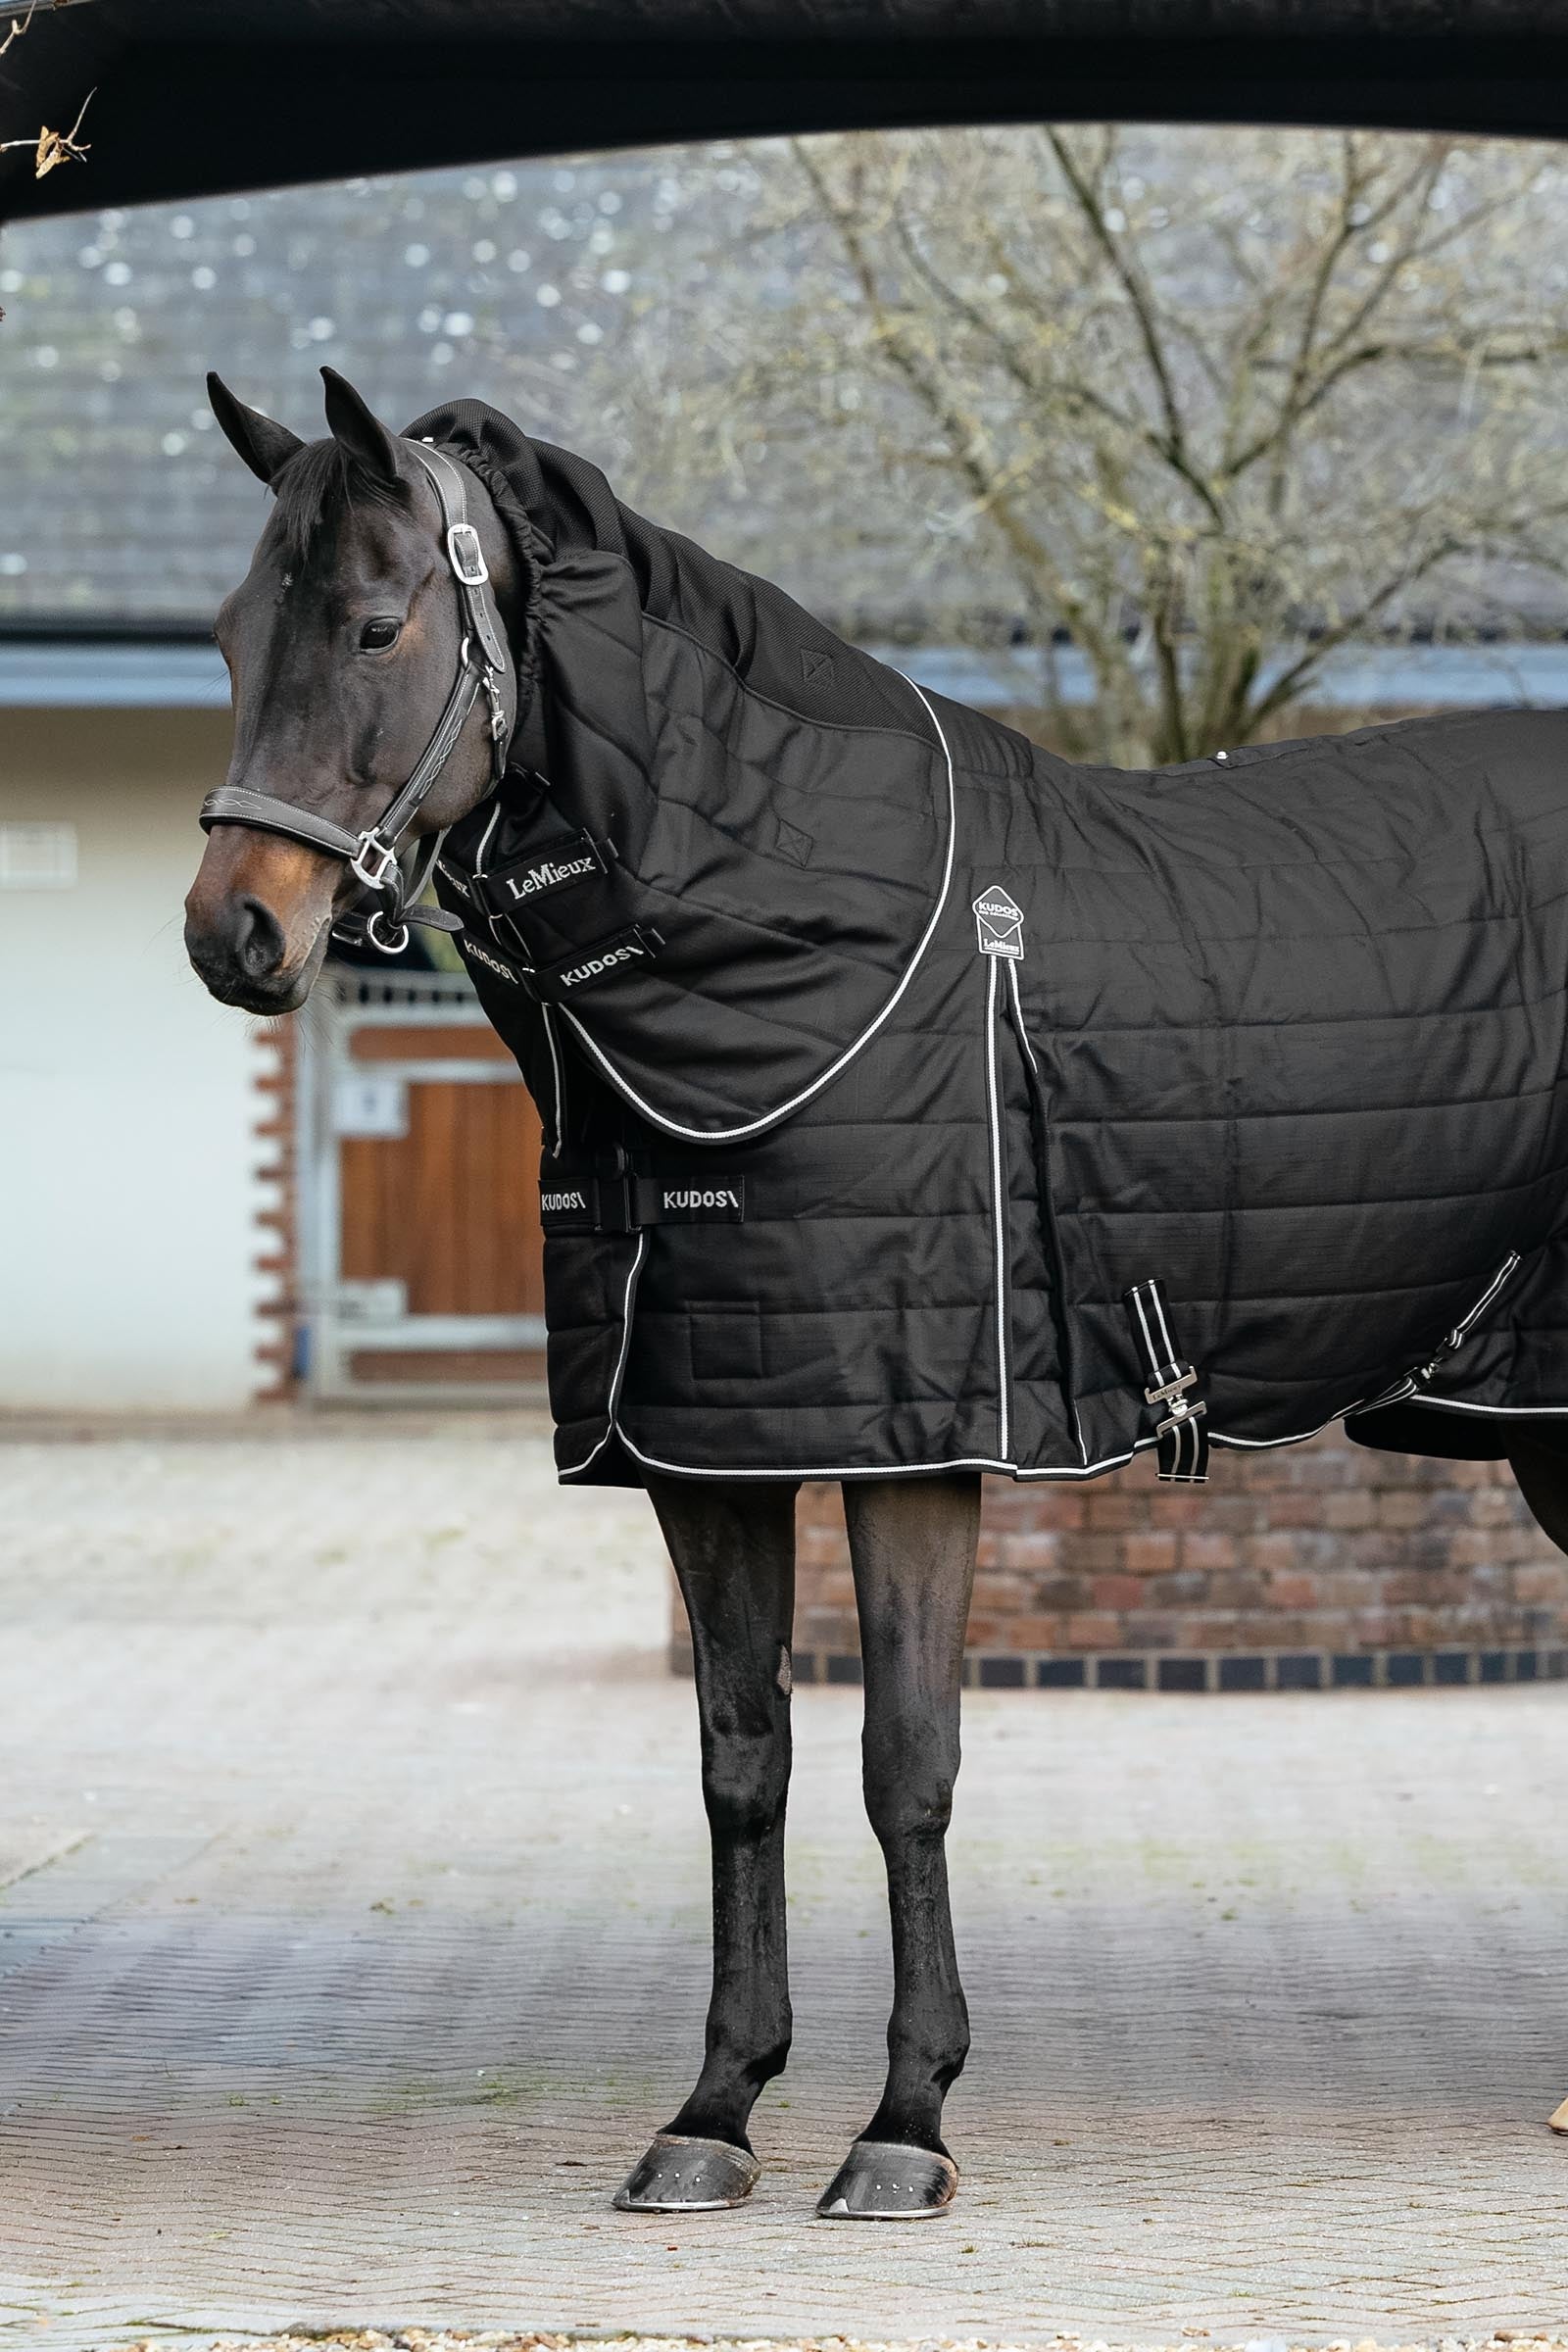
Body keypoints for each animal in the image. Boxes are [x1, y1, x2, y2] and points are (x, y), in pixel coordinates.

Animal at [185, 367, 1568, 2216]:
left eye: (377, 624)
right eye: (224, 635)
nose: (237, 934)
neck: (798, 932)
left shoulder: (915, 1437)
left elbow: (904, 1765)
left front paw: (907, 2121)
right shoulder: (710, 1440)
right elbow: (742, 1763)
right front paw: (715, 2109)